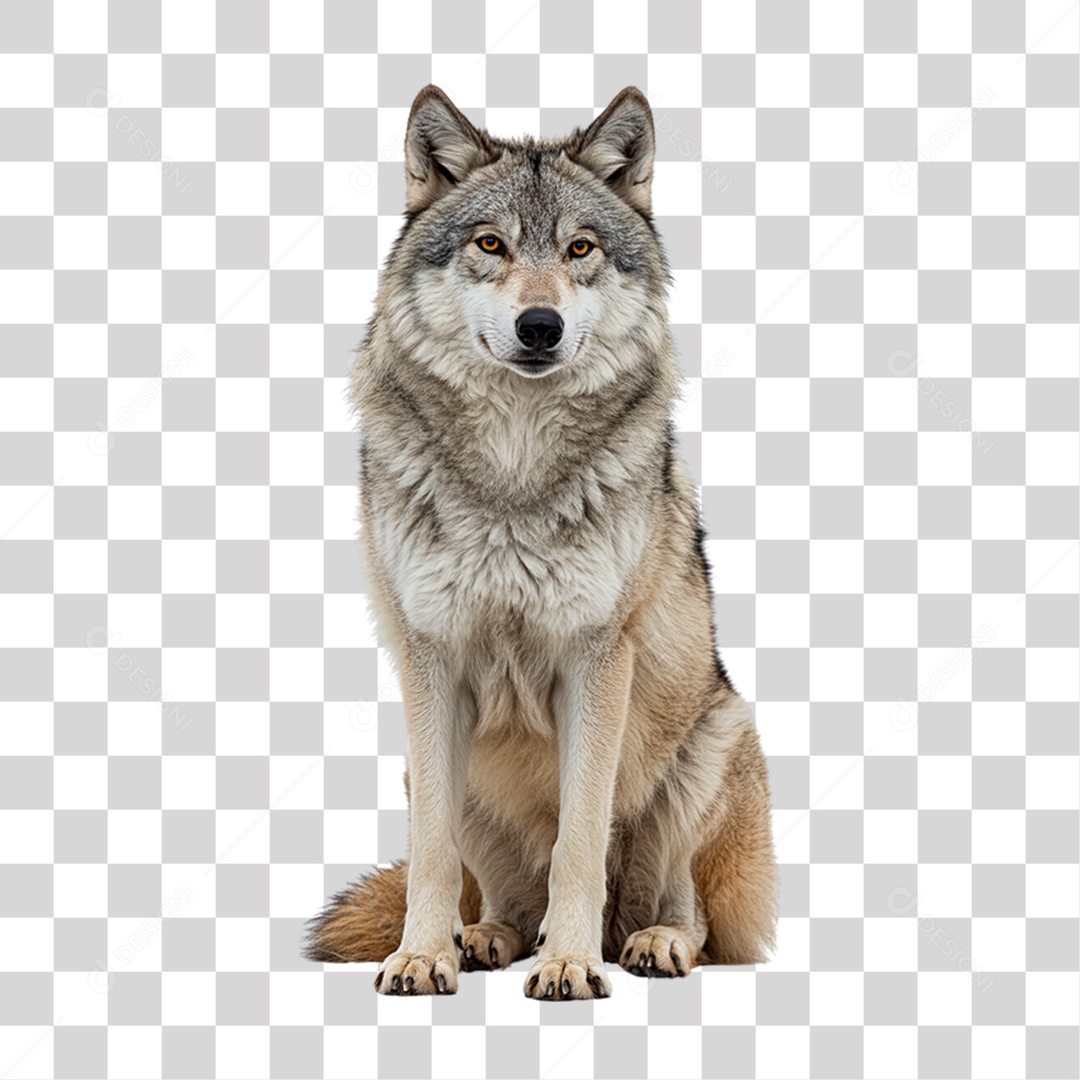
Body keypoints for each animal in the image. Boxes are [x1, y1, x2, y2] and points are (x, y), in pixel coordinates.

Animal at [306, 85, 777, 999]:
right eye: (491, 244)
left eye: (580, 248)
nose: (539, 325)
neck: (513, 475)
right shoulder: (430, 658)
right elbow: (431, 857)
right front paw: (421, 954)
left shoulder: (595, 657)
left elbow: (578, 843)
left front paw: (571, 962)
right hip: (429, 771)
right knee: (498, 895)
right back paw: (483, 939)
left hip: (711, 739)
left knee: (687, 913)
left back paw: (648, 943)